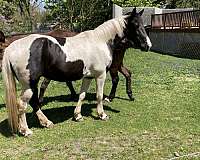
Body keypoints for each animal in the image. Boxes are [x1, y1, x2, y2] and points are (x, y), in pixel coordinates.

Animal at [1, 8, 152, 136]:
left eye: (143, 25)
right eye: (136, 25)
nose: (148, 46)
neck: (101, 41)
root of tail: (11, 48)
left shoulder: (88, 76)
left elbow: (82, 95)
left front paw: (78, 116)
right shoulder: (100, 75)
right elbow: (99, 96)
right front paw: (102, 115)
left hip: (31, 84)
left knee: (33, 103)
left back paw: (46, 122)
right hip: (29, 84)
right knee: (22, 105)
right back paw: (26, 130)